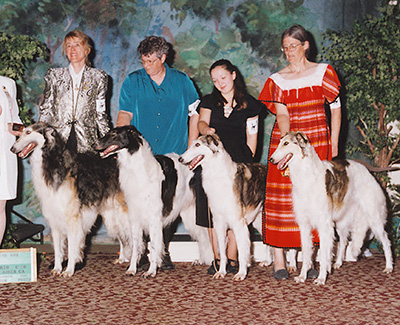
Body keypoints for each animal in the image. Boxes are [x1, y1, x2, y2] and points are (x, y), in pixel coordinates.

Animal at [10, 122, 130, 276]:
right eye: (23, 131)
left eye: (29, 132)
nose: (12, 149)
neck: (54, 162)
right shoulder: (54, 219)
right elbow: (58, 250)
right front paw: (57, 268)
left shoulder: (73, 219)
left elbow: (72, 247)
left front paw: (69, 270)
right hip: (113, 216)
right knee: (123, 238)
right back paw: (122, 258)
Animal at [95, 125, 214, 278]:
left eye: (114, 134)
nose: (95, 144)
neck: (138, 170)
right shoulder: (135, 217)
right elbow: (136, 247)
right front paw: (132, 269)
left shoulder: (154, 218)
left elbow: (153, 246)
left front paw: (151, 271)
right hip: (190, 214)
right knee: (203, 237)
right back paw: (202, 260)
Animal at [180, 133, 274, 280]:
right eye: (192, 144)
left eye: (198, 145)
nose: (180, 159)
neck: (217, 173)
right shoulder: (219, 223)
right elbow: (223, 254)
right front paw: (221, 272)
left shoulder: (238, 223)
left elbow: (241, 252)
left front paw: (241, 274)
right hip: (259, 221)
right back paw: (268, 262)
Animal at [268, 131, 394, 284]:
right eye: (280, 143)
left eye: (286, 143)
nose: (271, 160)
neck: (307, 176)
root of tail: (367, 170)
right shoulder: (305, 225)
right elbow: (306, 254)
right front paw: (303, 276)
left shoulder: (324, 225)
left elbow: (323, 255)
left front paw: (321, 278)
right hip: (341, 222)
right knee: (344, 241)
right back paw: (338, 263)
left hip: (374, 218)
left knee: (386, 242)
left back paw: (389, 267)